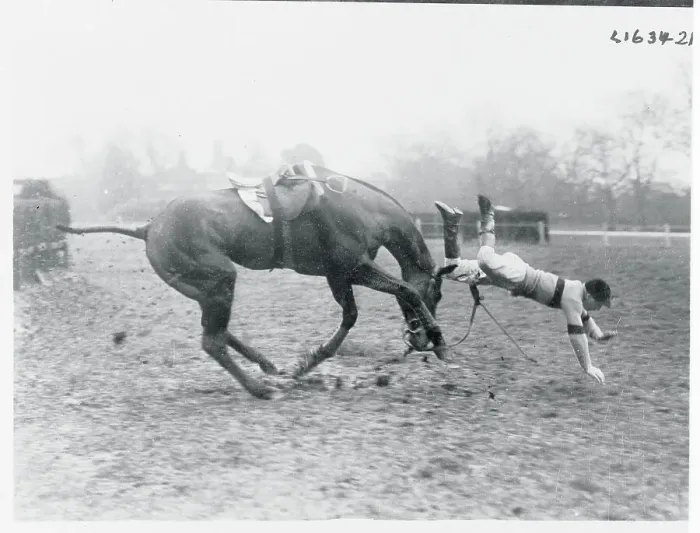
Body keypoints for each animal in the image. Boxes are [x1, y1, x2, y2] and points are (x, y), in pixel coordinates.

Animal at [57, 165, 457, 399]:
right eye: (437, 293)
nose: (418, 340)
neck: (358, 207)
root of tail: (148, 227)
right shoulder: (355, 268)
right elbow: (404, 290)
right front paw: (441, 343)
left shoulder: (338, 275)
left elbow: (350, 316)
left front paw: (306, 363)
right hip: (219, 280)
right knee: (212, 340)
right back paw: (260, 388)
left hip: (204, 288)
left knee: (218, 332)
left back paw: (268, 366)